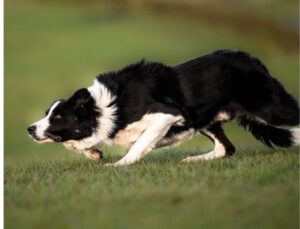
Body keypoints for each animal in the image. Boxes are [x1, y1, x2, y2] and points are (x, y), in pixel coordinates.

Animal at [27, 50, 298, 165]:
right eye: (46, 114)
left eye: (59, 116)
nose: (29, 129)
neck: (107, 107)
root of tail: (252, 59)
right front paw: (94, 153)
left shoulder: (167, 115)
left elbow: (139, 145)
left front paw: (117, 165)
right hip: (203, 119)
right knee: (226, 148)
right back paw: (193, 160)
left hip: (270, 108)